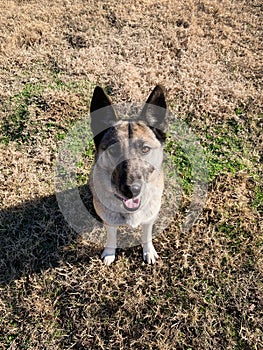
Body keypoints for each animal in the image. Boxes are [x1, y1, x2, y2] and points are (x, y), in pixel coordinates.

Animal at [89, 85, 168, 266]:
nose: (131, 190)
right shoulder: (110, 223)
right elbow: (111, 238)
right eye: (113, 150)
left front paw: (148, 251)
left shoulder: (149, 219)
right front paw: (110, 253)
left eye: (145, 149)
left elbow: (147, 236)